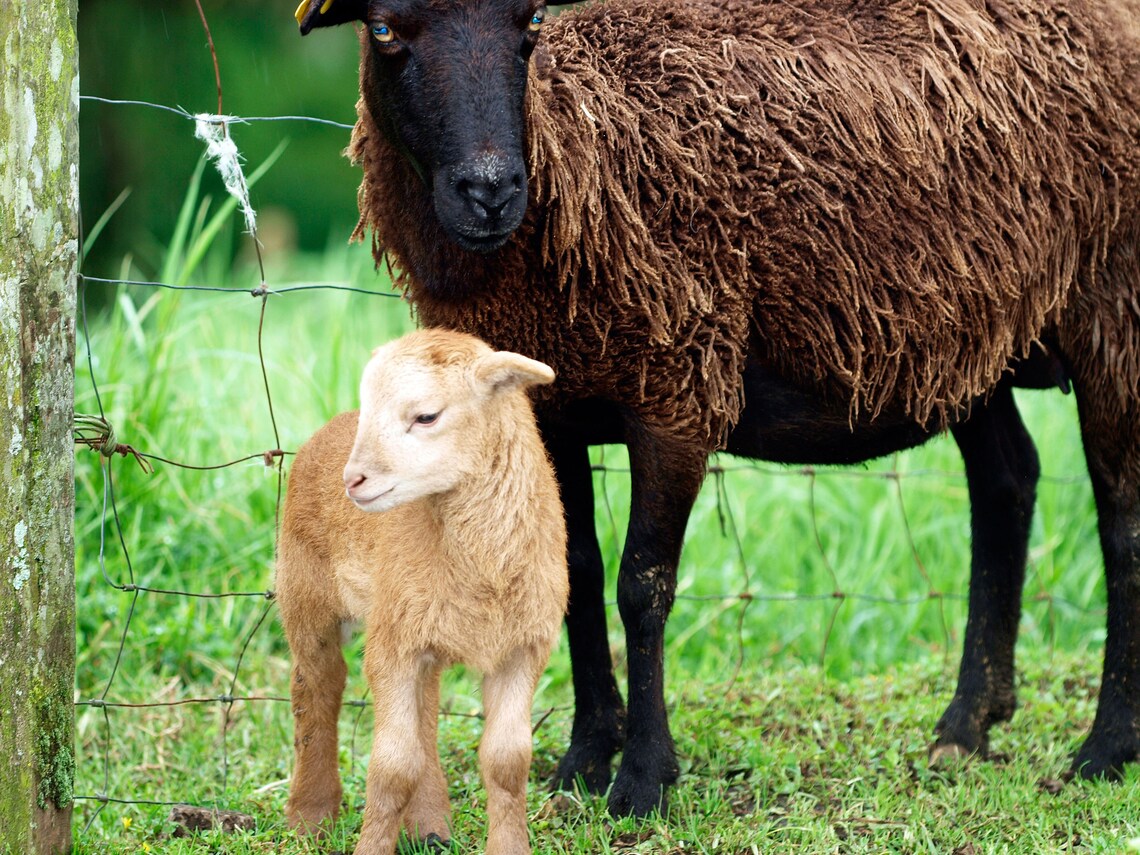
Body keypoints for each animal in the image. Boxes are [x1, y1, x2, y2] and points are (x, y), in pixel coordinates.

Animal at [275, 328, 568, 854]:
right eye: (369, 407)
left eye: (426, 416)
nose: (353, 480)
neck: (484, 569)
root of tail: (326, 432)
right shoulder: (391, 647)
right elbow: (392, 768)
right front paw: (371, 847)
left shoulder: (522, 648)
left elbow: (508, 762)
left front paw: (509, 845)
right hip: (305, 592)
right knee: (317, 688)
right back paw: (310, 816)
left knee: (425, 711)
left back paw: (429, 824)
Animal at [295, 0, 1140, 816]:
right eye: (383, 28)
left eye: (527, 21)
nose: (491, 189)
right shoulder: (548, 408)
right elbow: (576, 571)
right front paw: (582, 761)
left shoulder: (679, 390)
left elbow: (641, 586)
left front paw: (642, 781)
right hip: (970, 336)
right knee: (1007, 480)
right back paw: (966, 727)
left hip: (1111, 306)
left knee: (1119, 519)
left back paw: (1104, 750)